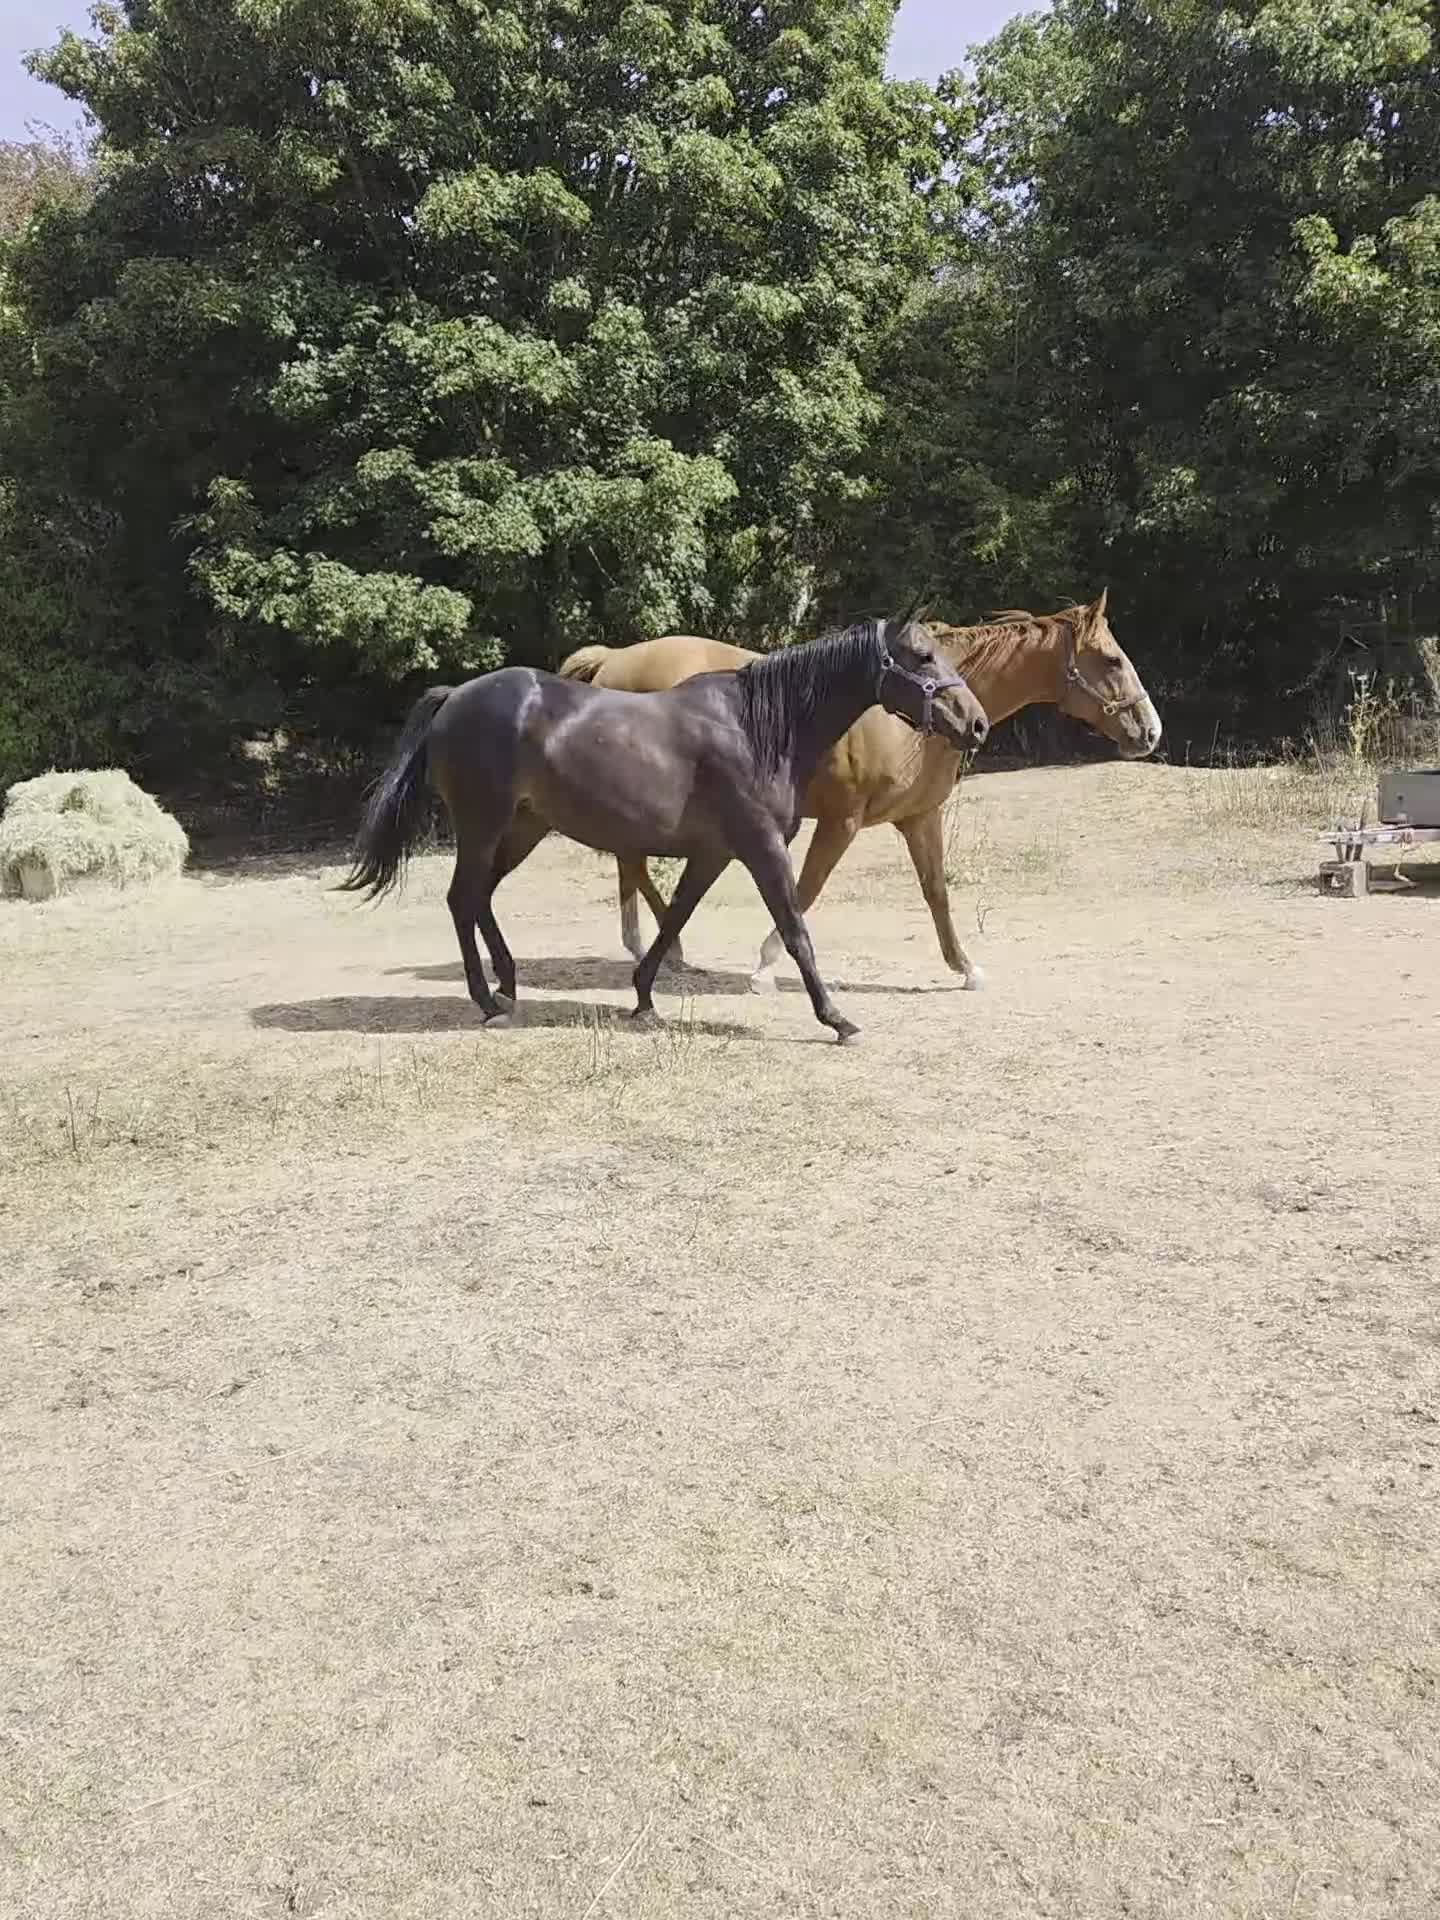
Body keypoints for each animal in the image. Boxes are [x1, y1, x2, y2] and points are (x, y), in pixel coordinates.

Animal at [340, 618, 990, 1043]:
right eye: (922, 657)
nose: (977, 724)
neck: (757, 728)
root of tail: (455, 697)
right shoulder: (761, 848)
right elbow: (795, 930)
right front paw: (837, 1019)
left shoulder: (714, 853)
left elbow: (675, 917)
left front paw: (645, 997)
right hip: (482, 824)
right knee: (461, 898)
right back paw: (487, 1000)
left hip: (521, 828)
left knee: (481, 897)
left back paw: (508, 988)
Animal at [557, 592, 1161, 990]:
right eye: (1112, 660)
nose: (1151, 731)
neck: (907, 715)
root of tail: (612, 661)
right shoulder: (840, 822)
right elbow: (804, 893)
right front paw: (765, 967)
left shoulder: (920, 818)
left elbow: (936, 893)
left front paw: (965, 967)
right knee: (632, 861)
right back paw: (666, 946)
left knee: (629, 861)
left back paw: (659, 945)